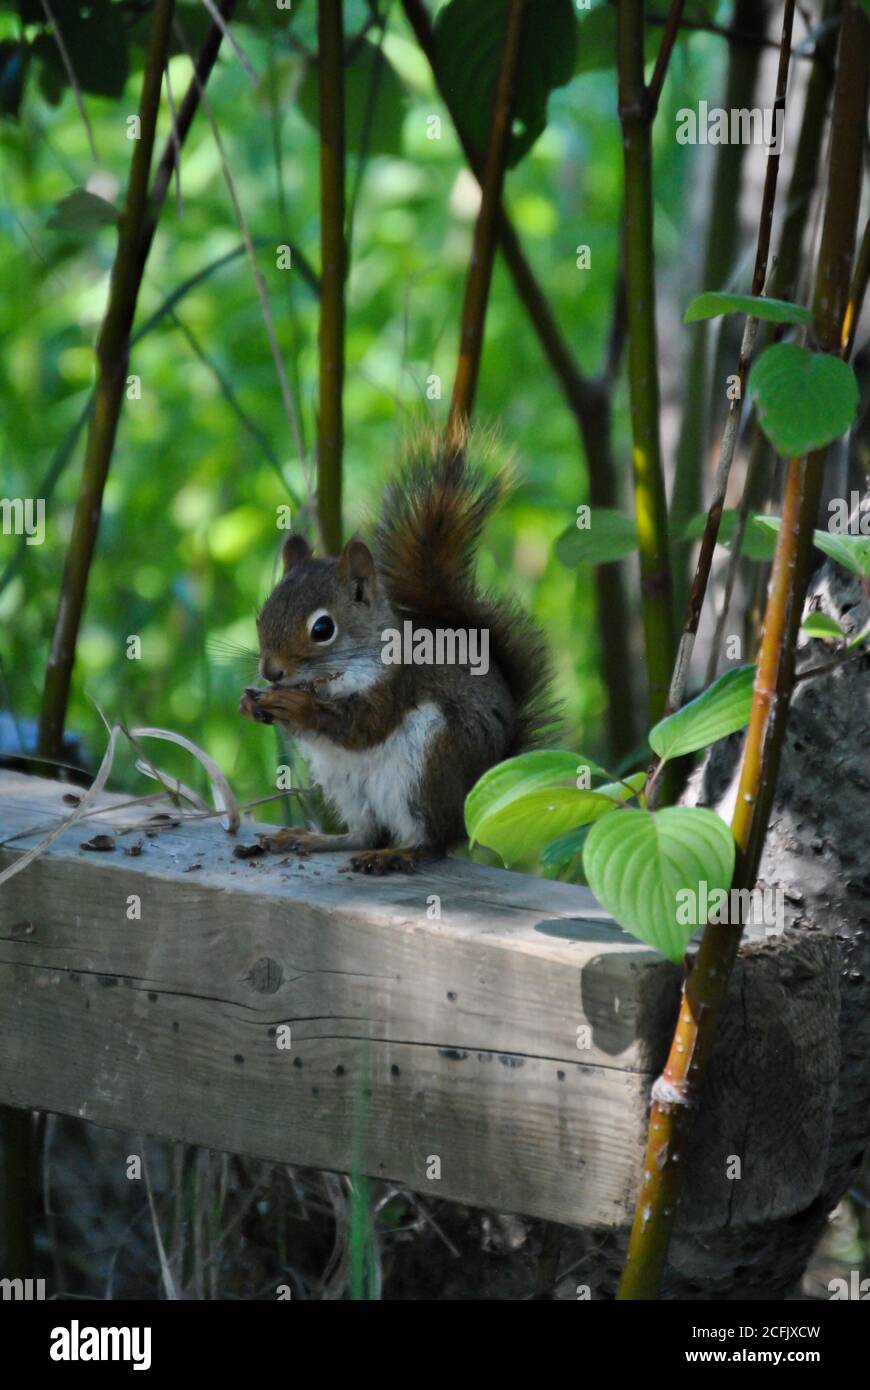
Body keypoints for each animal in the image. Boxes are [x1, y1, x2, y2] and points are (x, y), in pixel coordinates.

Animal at [239, 433, 547, 872]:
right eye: (261, 617)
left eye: (322, 629)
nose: (271, 672)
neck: (333, 678)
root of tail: (469, 814)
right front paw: (252, 705)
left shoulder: (396, 685)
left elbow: (361, 727)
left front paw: (300, 707)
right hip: (346, 787)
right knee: (365, 832)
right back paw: (313, 838)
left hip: (427, 766)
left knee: (430, 841)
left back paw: (397, 854)